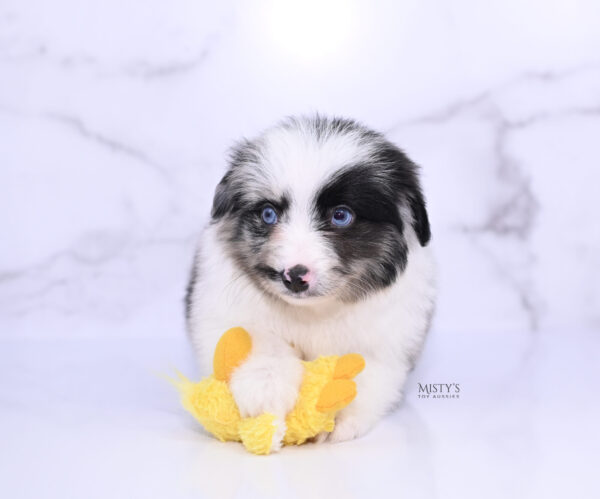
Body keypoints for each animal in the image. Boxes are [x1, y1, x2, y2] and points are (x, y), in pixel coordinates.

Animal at [185, 115, 434, 452]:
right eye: (268, 214)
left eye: (341, 216)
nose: (294, 276)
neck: (315, 311)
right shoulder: (224, 310)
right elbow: (255, 339)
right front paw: (266, 392)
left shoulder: (391, 335)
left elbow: (367, 368)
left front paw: (334, 407)